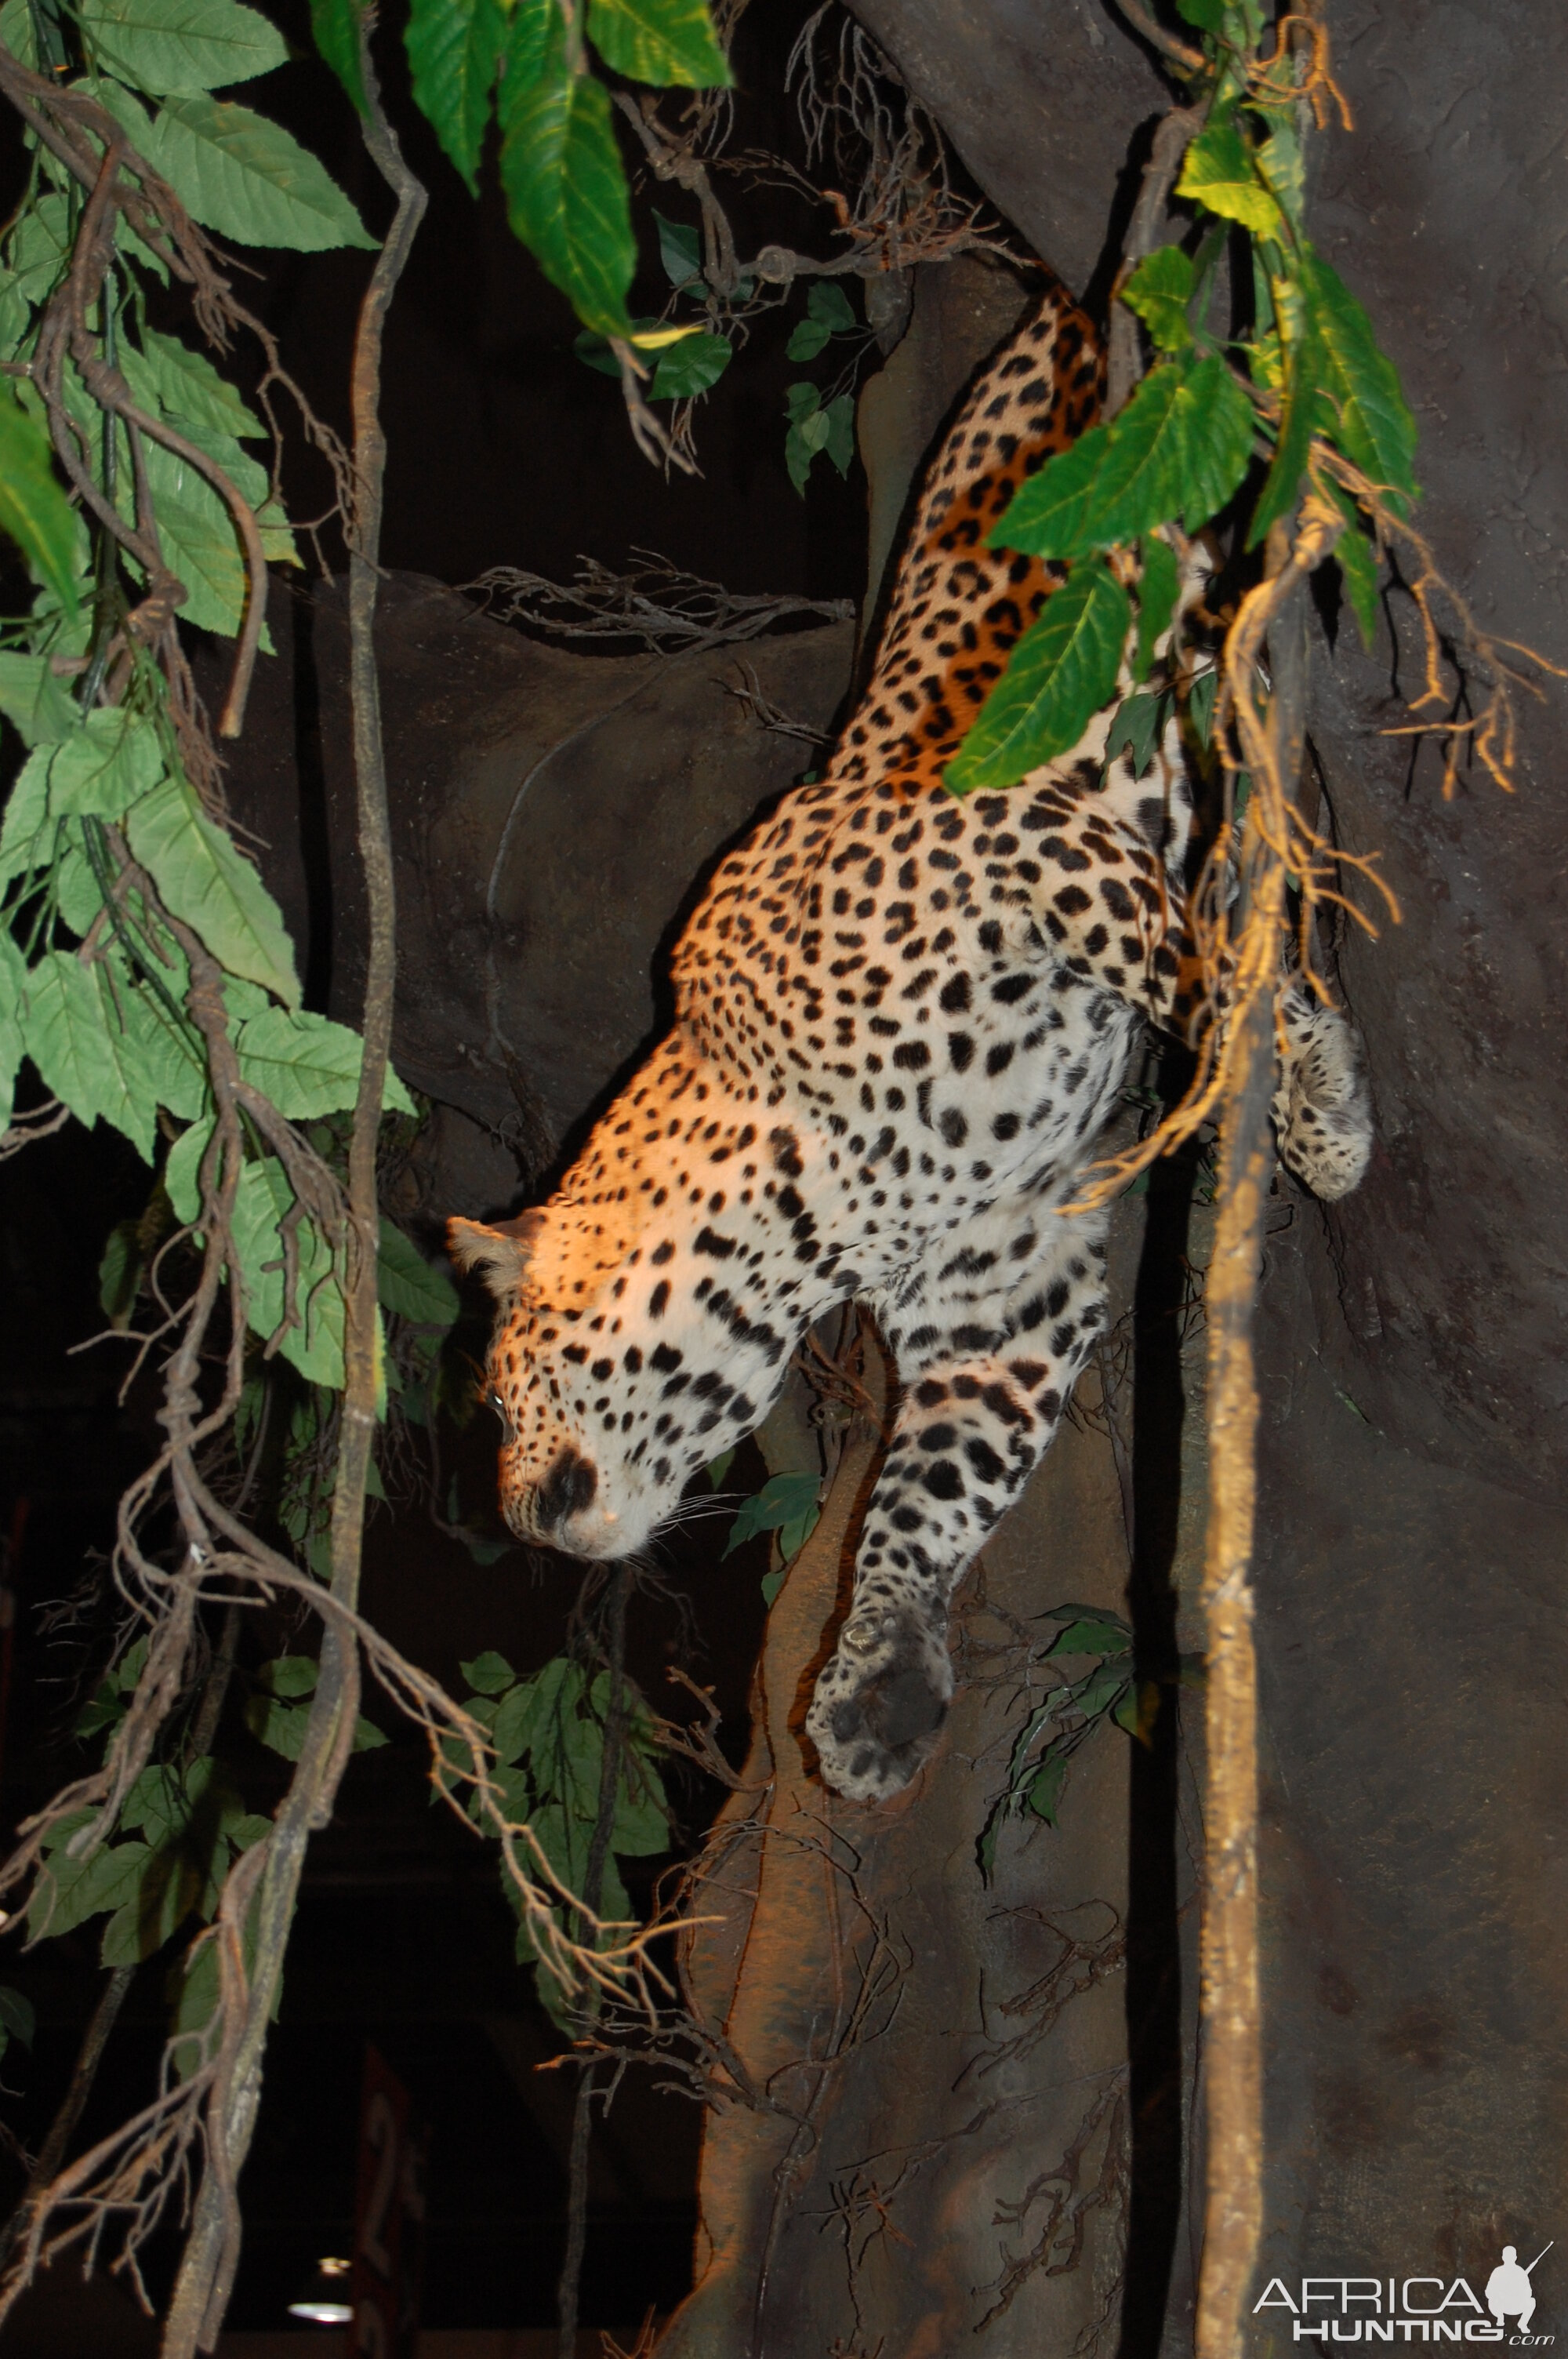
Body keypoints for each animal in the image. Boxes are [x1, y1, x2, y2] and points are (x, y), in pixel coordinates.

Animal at [445, 263, 1367, 1802]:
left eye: (503, 1393)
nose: (519, 1520)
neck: (809, 1210)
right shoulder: (1002, 1290)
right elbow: (928, 1490)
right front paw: (876, 1685)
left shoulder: (1032, 846)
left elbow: (1205, 968)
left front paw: (1317, 1110)